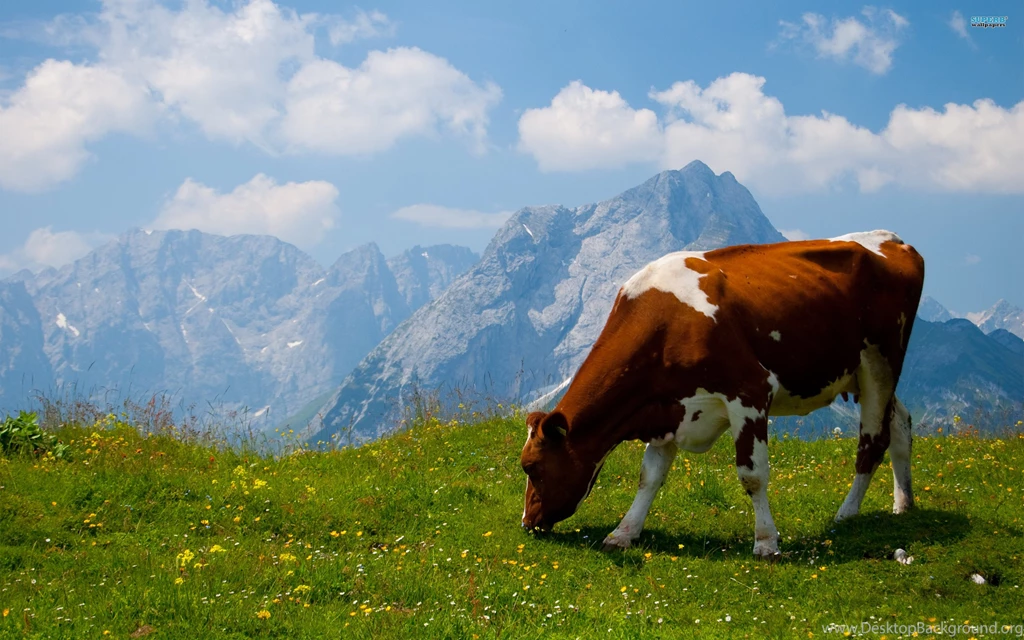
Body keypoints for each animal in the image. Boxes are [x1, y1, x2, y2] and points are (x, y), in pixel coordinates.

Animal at [519, 230, 925, 557]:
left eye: (531, 467)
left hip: (881, 363)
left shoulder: (750, 391)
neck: (665, 322)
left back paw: (847, 513)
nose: (527, 522)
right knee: (900, 424)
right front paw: (624, 533)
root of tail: (893, 239)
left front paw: (766, 542)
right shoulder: (668, 407)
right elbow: (649, 476)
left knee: (872, 442)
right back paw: (903, 503)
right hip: (860, 375)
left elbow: (752, 474)